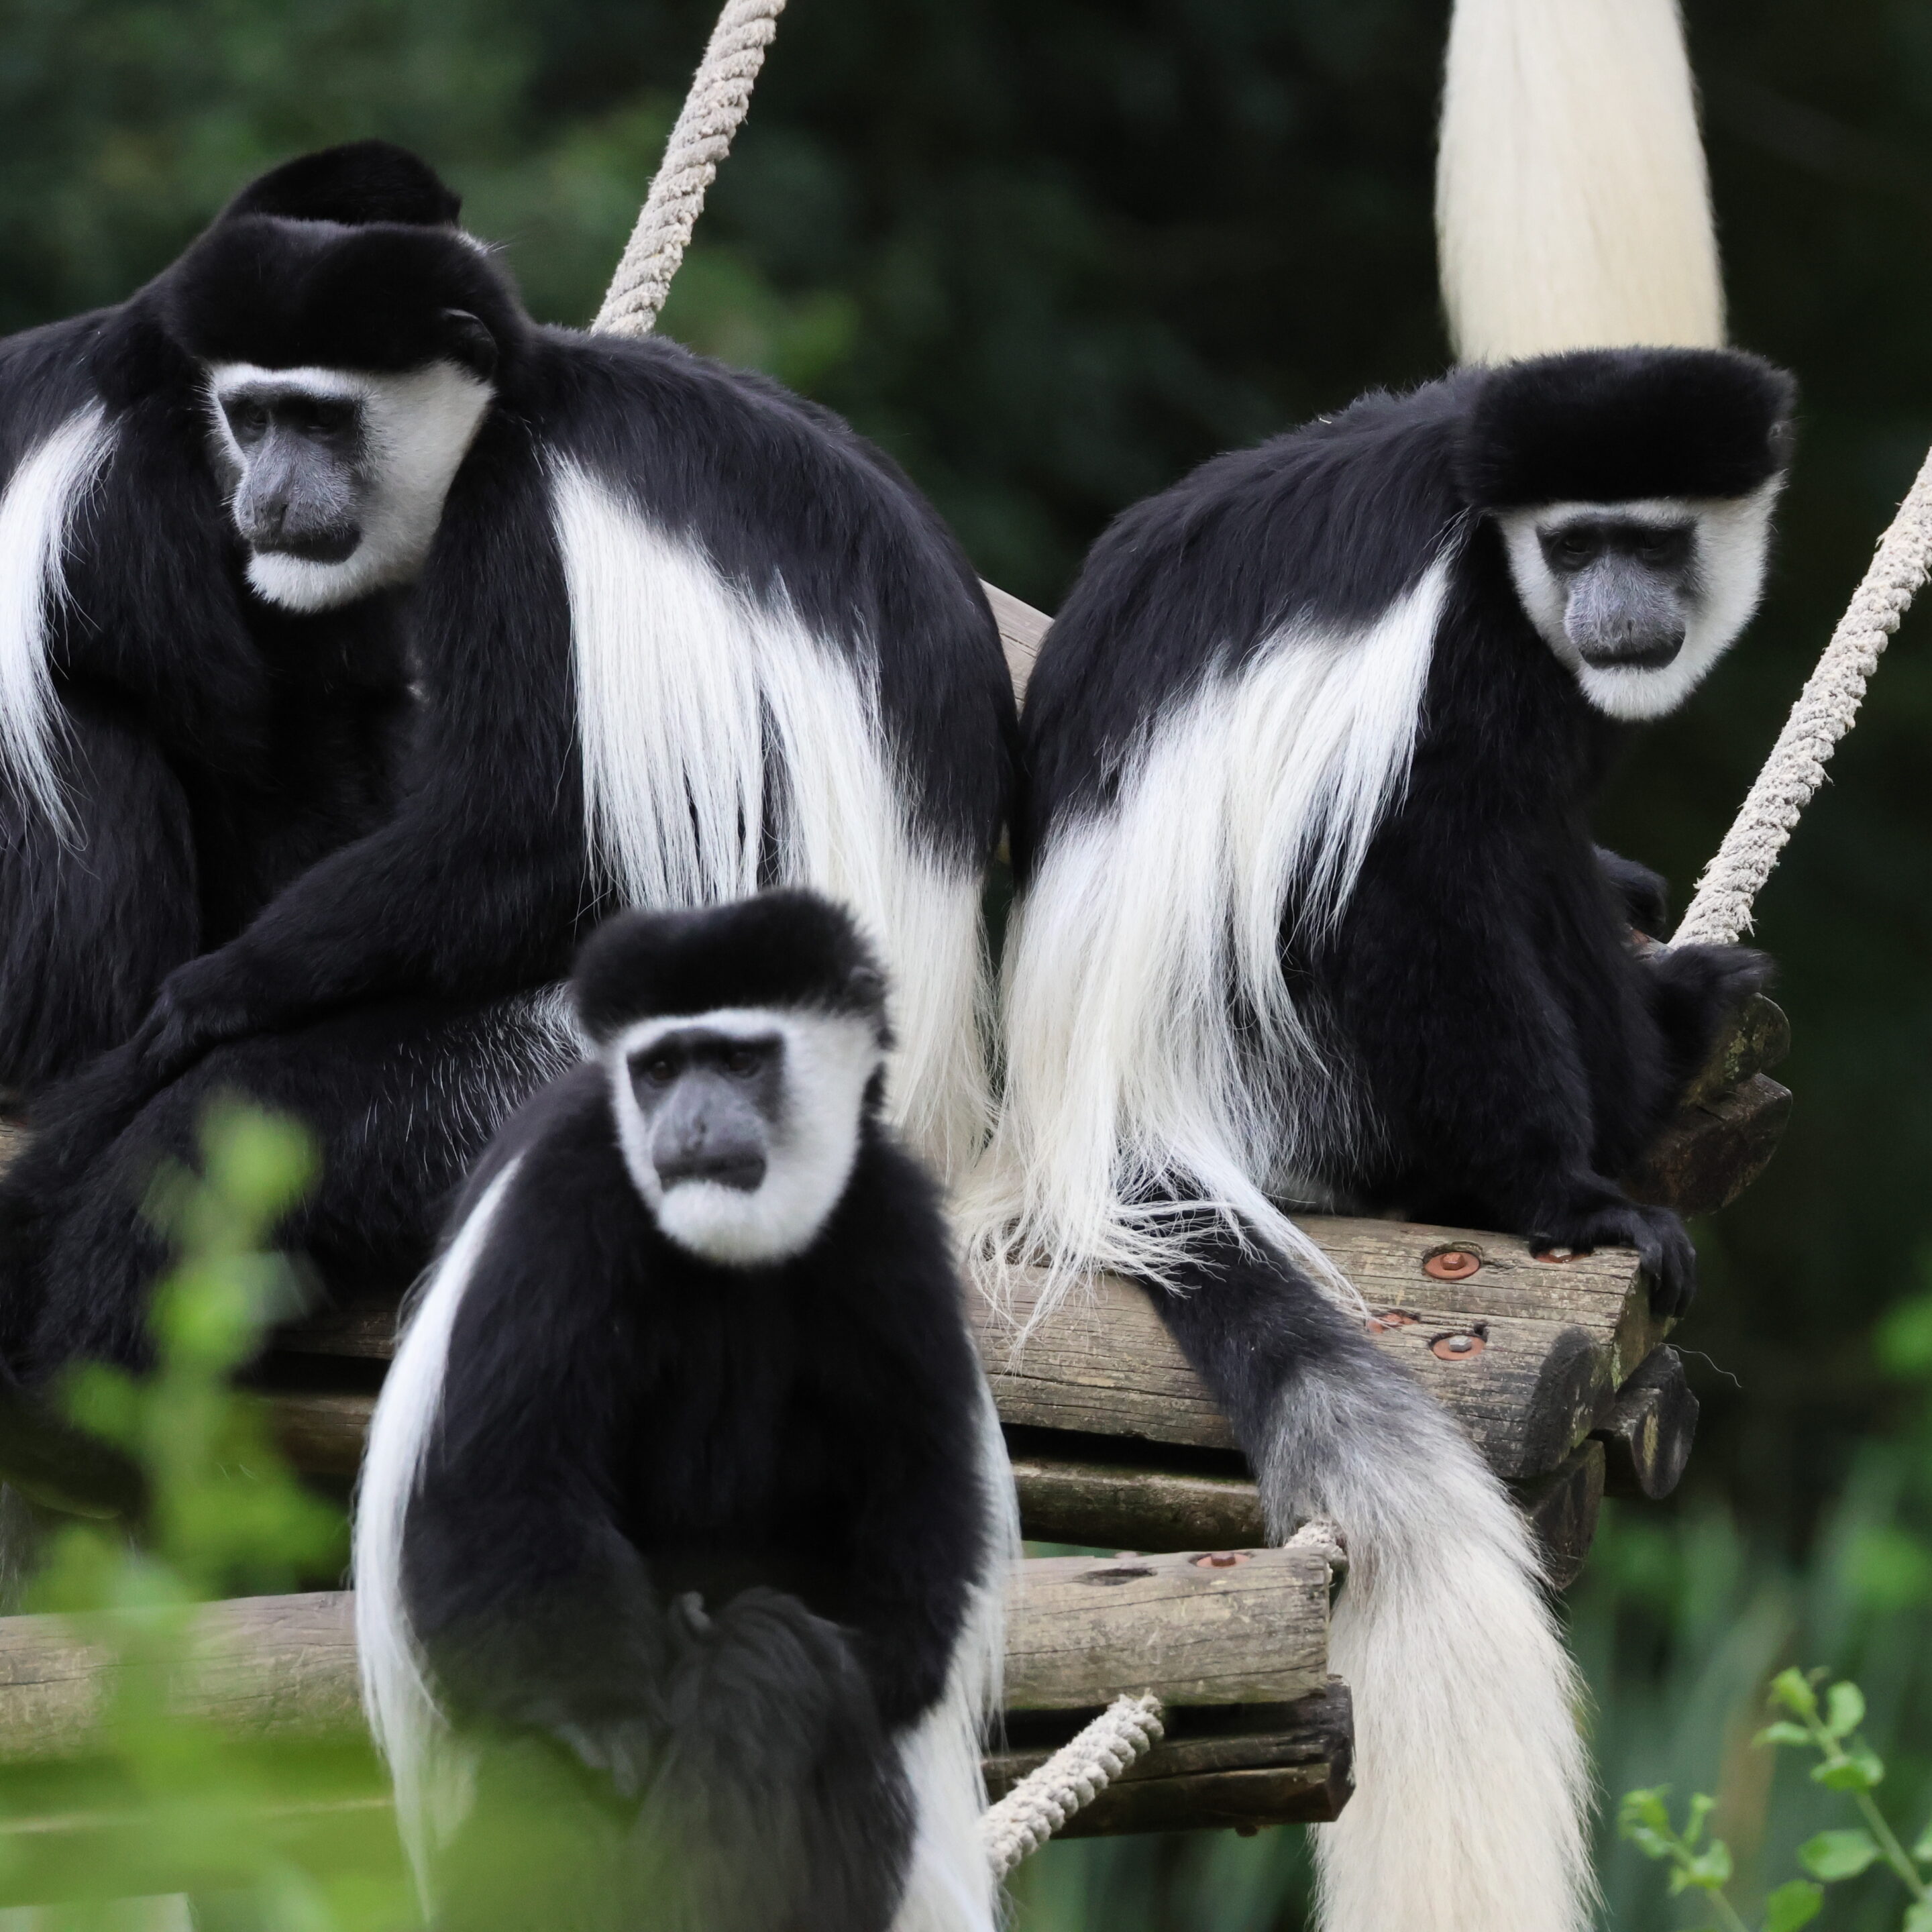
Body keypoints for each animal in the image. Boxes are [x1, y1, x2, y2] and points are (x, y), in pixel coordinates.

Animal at [0, 142, 1014, 1385]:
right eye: (251, 414)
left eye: (320, 421)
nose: (263, 500)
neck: (517, 404)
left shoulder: (516, 522)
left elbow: (530, 833)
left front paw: (206, 999)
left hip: (632, 1077)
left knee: (264, 1115)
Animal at [354, 890, 1014, 1932]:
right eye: (660, 1069)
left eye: (740, 1061)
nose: (691, 1126)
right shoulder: (567, 1200)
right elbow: (492, 1495)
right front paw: (613, 1728)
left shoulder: (892, 1229)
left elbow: (923, 1525)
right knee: (536, 1758)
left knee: (788, 1669)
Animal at [966, 346, 1793, 1932]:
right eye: (1576, 544)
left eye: (1651, 539)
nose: (1615, 613)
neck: (1498, 541)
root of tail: (1110, 1124)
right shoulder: (1454, 661)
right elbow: (1422, 863)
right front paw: (1574, 1195)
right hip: (1306, 1073)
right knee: (1449, 875)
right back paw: (1661, 1057)